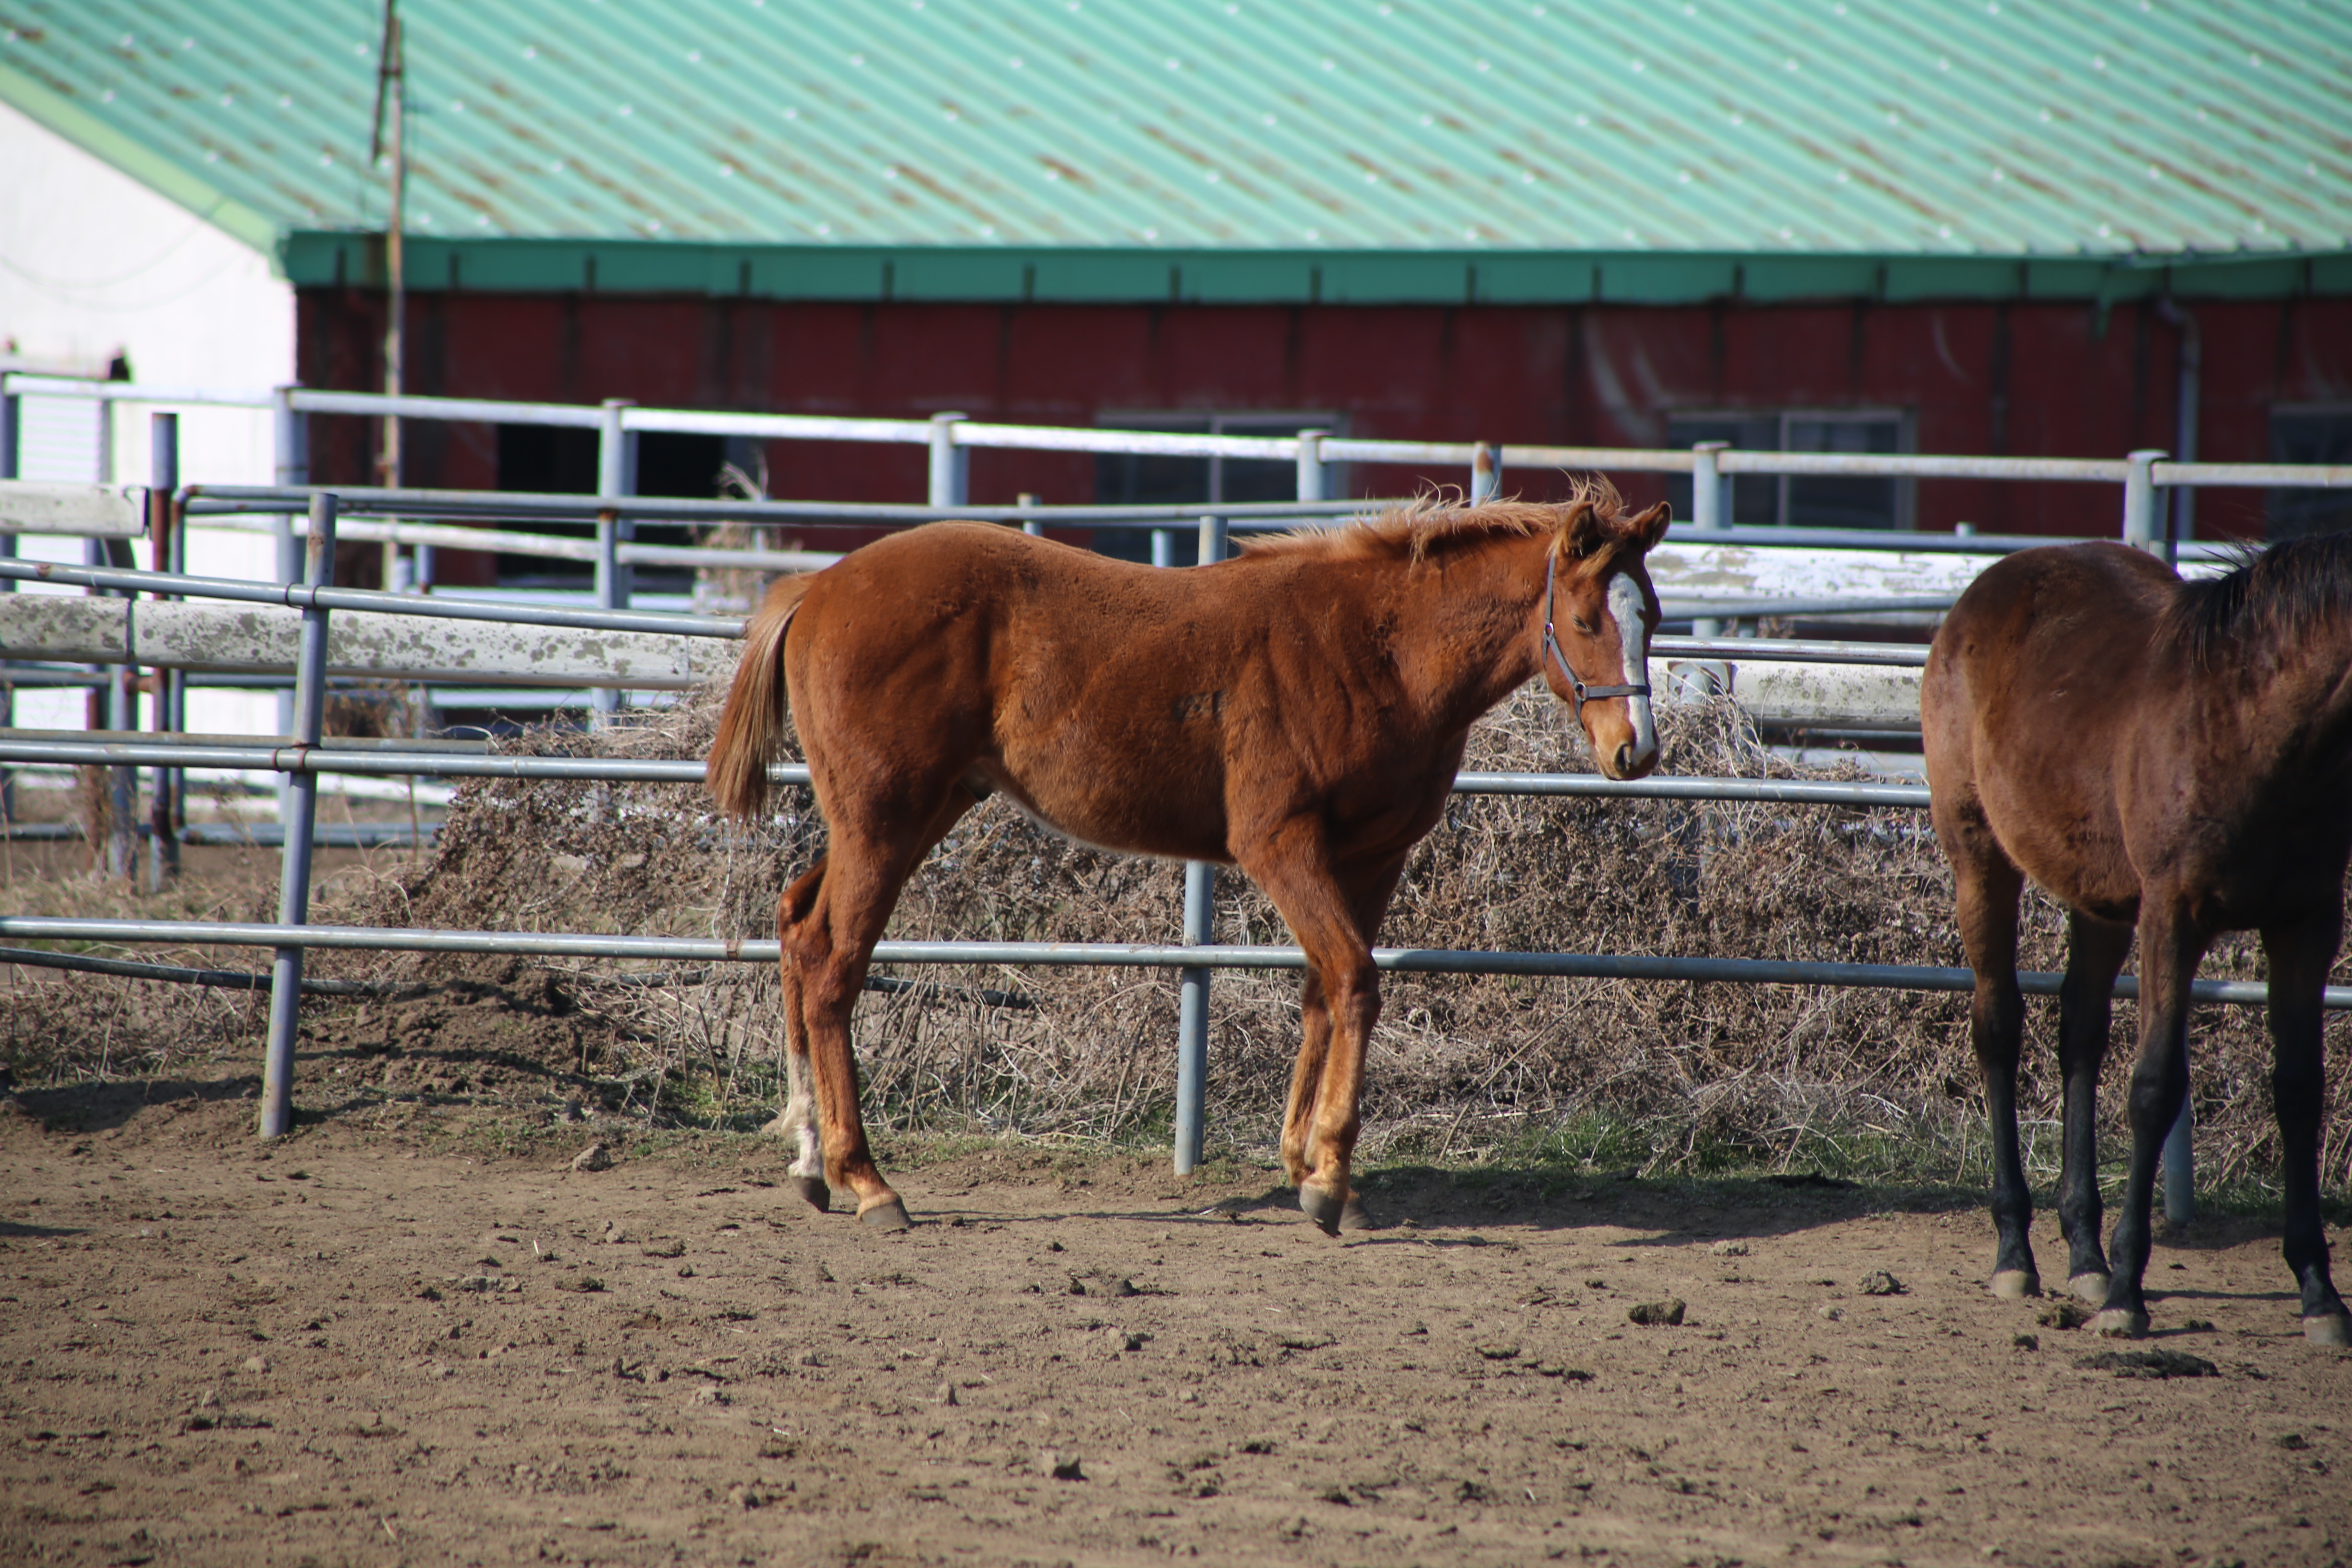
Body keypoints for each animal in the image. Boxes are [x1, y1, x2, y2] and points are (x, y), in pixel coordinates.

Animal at [701, 491, 1675, 1241]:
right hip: (883, 822)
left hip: (911, 816)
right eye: (1585, 619)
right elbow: (1356, 980)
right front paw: (1329, 1182)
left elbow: (1325, 989)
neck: (1376, 647)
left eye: (1654, 618)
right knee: (833, 968)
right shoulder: (1279, 843)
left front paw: (1308, 1166)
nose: (1635, 753)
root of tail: (818, 586)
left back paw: (811, 1163)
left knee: (797, 929)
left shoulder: (1370, 858)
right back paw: (868, 1181)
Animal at [1929, 541, 2352, 1354]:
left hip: (2096, 897)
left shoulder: (2309, 923)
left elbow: (2299, 1091)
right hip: (1979, 858)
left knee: (2080, 1037)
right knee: (1998, 1029)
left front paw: (2320, 1292)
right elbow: (2155, 1088)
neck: (2257, 724)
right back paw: (2016, 1253)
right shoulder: (2173, 916)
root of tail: (1990, 583)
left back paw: (2085, 1255)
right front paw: (2128, 1293)